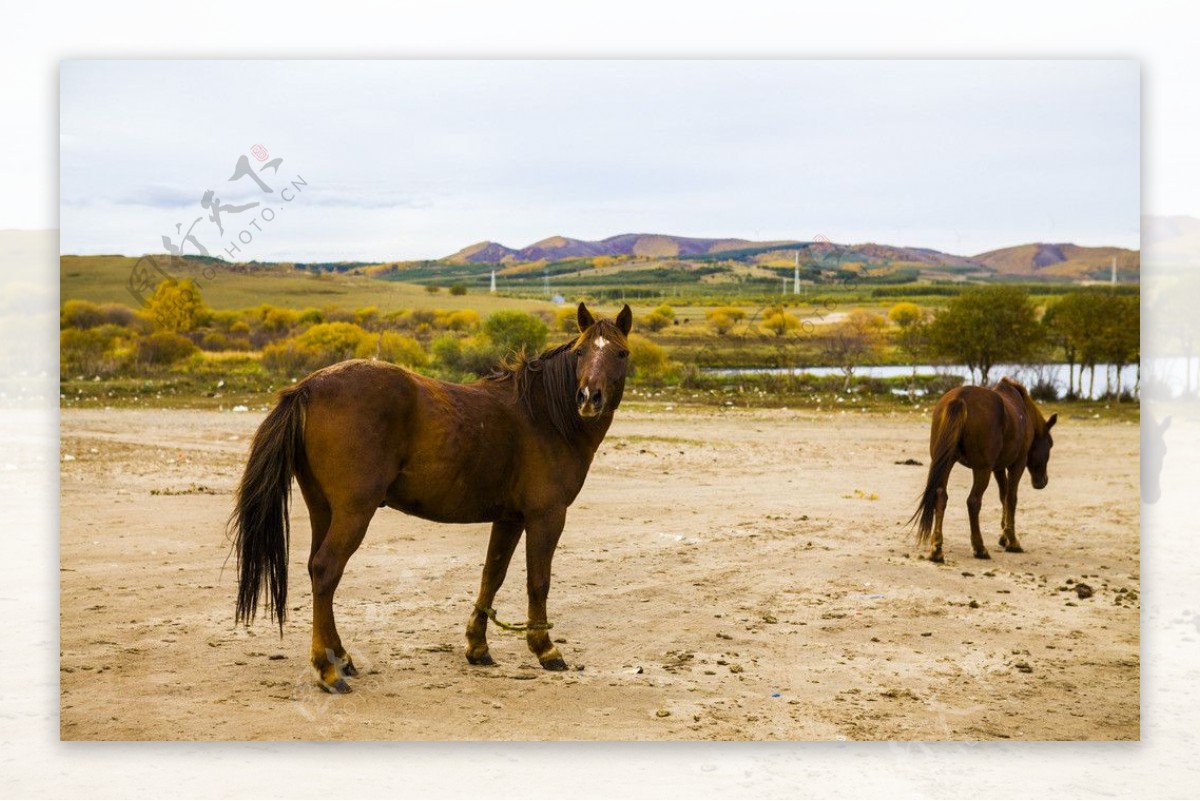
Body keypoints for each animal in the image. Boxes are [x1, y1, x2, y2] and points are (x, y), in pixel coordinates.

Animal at [228, 303, 633, 690]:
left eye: (621, 353)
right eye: (580, 352)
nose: (589, 398)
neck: (543, 416)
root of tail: (308, 388)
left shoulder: (509, 519)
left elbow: (492, 576)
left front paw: (477, 646)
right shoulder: (546, 516)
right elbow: (538, 581)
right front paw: (545, 649)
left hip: (322, 509)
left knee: (317, 571)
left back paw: (339, 656)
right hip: (353, 512)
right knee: (326, 571)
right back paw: (328, 671)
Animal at [907, 376, 1060, 561]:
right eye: (1050, 444)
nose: (1042, 481)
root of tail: (960, 399)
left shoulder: (998, 468)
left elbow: (1003, 497)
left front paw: (1004, 537)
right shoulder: (1017, 463)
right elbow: (1011, 498)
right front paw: (1012, 541)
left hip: (947, 462)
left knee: (941, 496)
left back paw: (937, 549)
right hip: (982, 469)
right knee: (973, 502)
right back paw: (979, 548)